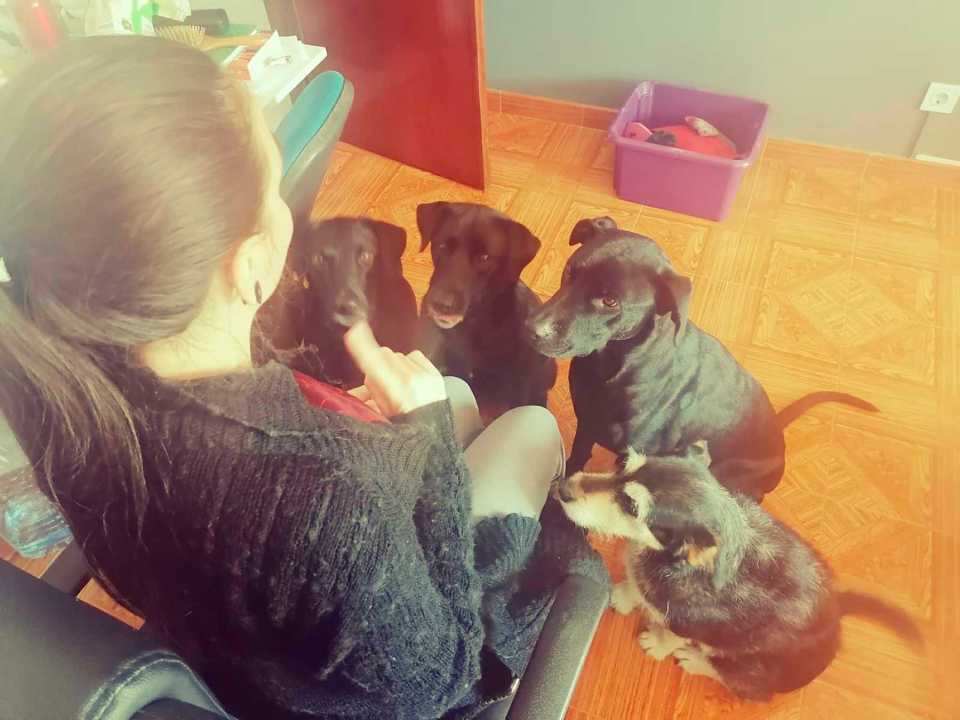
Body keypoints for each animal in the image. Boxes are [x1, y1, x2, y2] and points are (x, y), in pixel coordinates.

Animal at [526, 216, 876, 500]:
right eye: (569, 271)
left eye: (610, 301)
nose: (531, 329)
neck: (612, 366)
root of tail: (778, 429)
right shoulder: (586, 423)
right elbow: (576, 459)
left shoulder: (631, 454)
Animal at [555, 444, 923, 701]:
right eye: (622, 463)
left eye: (631, 505)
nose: (562, 488)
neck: (673, 560)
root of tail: (838, 613)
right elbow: (637, 587)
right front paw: (624, 594)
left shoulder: (691, 624)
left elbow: (669, 634)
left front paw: (657, 644)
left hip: (747, 667)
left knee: (750, 690)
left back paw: (696, 661)